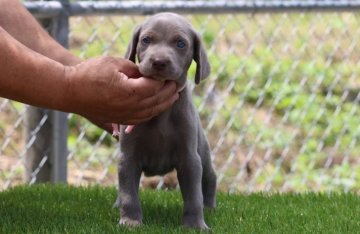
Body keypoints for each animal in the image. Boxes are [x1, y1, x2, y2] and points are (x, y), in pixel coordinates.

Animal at [115, 11, 217, 229]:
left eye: (180, 43)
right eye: (146, 40)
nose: (159, 62)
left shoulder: (190, 158)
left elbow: (194, 195)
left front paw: (195, 225)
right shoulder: (128, 157)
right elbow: (128, 192)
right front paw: (130, 221)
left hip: (202, 150)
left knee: (210, 177)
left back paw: (210, 207)